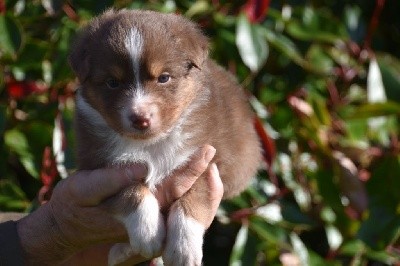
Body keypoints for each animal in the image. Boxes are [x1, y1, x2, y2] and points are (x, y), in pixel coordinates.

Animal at [69, 9, 262, 264]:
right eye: (112, 82)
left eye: (163, 78)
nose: (140, 118)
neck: (152, 143)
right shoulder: (100, 168)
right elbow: (131, 191)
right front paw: (148, 232)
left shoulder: (208, 159)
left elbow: (194, 197)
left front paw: (183, 249)